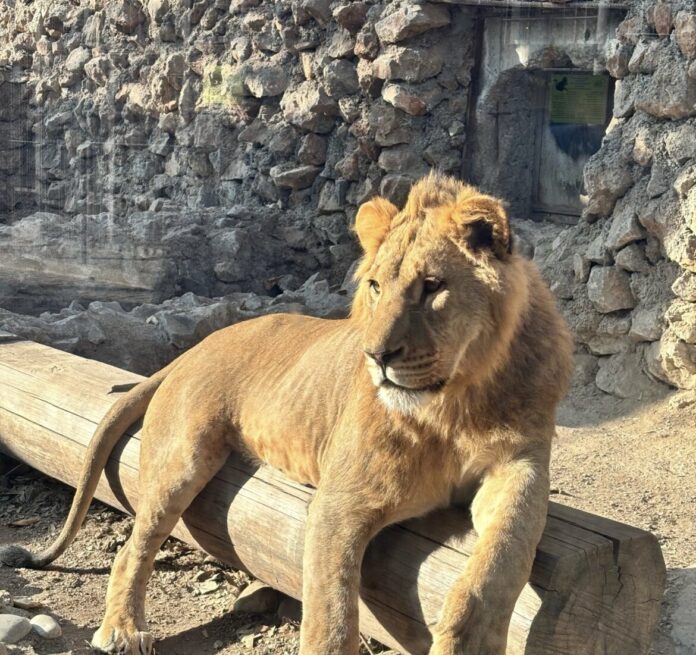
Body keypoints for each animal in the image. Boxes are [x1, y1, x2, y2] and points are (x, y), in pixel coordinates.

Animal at [0, 173, 573, 655]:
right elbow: (330, 614)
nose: (376, 356)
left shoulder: (520, 462)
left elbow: (501, 558)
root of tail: (194, 347)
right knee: (133, 547)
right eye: (375, 286)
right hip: (183, 456)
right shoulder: (340, 502)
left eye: (432, 287)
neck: (453, 406)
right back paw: (122, 629)